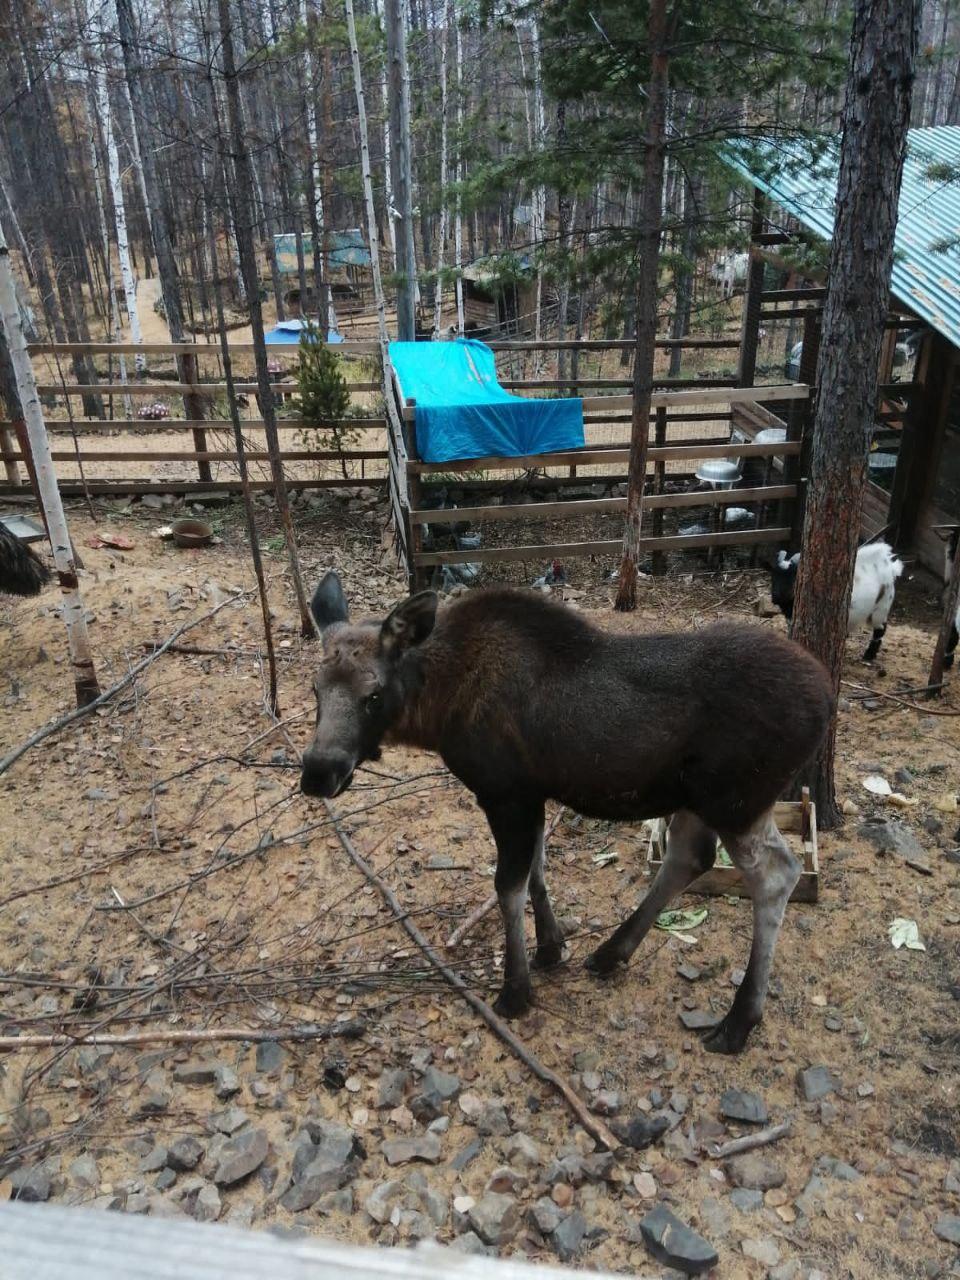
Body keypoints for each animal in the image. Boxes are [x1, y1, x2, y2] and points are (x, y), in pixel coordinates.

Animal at [302, 576, 834, 1054]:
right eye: (314, 690)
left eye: (373, 695)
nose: (318, 772)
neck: (436, 709)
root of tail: (829, 700)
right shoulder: (532, 793)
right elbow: (538, 870)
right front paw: (550, 947)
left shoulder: (504, 793)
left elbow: (508, 886)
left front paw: (515, 990)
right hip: (699, 799)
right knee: (691, 857)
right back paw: (612, 952)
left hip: (736, 800)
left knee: (776, 874)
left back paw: (739, 1020)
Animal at [773, 540, 906, 660]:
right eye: (775, 574)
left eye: (793, 574)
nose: (777, 596)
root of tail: (891, 567)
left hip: (881, 607)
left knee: (880, 629)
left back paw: (869, 656)